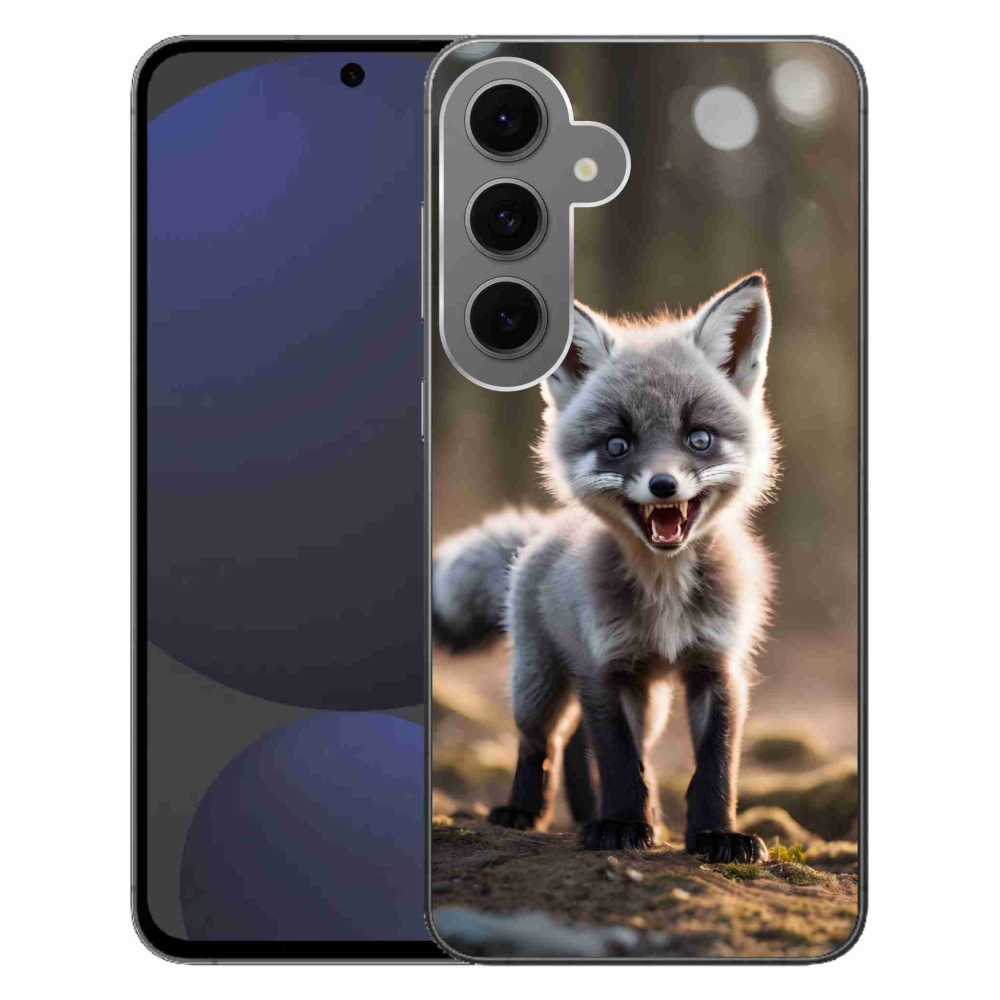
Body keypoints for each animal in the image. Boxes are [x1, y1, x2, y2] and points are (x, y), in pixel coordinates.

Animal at [433, 273, 778, 863]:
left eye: (699, 438)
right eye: (617, 444)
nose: (663, 485)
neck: (665, 595)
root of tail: (541, 534)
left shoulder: (718, 666)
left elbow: (715, 767)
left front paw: (716, 835)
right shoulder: (606, 668)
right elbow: (619, 762)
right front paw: (620, 824)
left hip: (649, 698)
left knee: (581, 744)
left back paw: (595, 811)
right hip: (540, 683)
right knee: (541, 742)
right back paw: (524, 811)